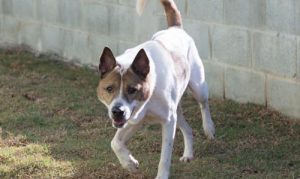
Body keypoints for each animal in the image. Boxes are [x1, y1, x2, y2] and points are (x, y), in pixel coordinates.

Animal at [97, 0, 214, 178]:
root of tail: (175, 28)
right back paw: (188, 154)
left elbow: (165, 157)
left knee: (204, 103)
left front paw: (161, 175)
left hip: (198, 86)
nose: (117, 111)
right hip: (176, 110)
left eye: (132, 89)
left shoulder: (168, 121)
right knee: (187, 129)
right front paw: (129, 164)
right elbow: (115, 143)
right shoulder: (134, 120)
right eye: (109, 88)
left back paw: (209, 128)